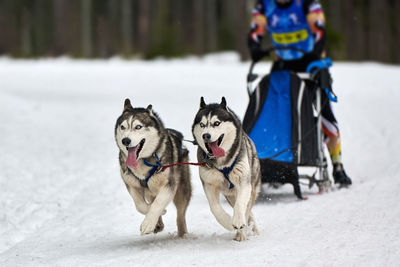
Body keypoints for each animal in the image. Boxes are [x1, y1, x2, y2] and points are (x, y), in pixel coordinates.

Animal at [115, 99, 191, 238]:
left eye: (138, 127)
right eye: (122, 127)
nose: (125, 140)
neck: (143, 161)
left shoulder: (169, 184)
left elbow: (158, 203)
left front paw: (148, 223)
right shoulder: (131, 184)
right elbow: (140, 205)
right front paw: (157, 217)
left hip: (182, 189)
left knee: (180, 213)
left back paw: (183, 233)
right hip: (150, 190)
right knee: (151, 200)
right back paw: (158, 224)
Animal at [192, 97, 260, 242]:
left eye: (216, 123)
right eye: (202, 124)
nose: (206, 135)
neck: (222, 165)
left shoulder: (244, 183)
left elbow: (240, 206)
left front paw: (238, 222)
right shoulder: (209, 184)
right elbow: (214, 208)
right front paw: (228, 222)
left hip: (251, 188)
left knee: (247, 209)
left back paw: (245, 232)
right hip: (230, 196)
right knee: (247, 212)